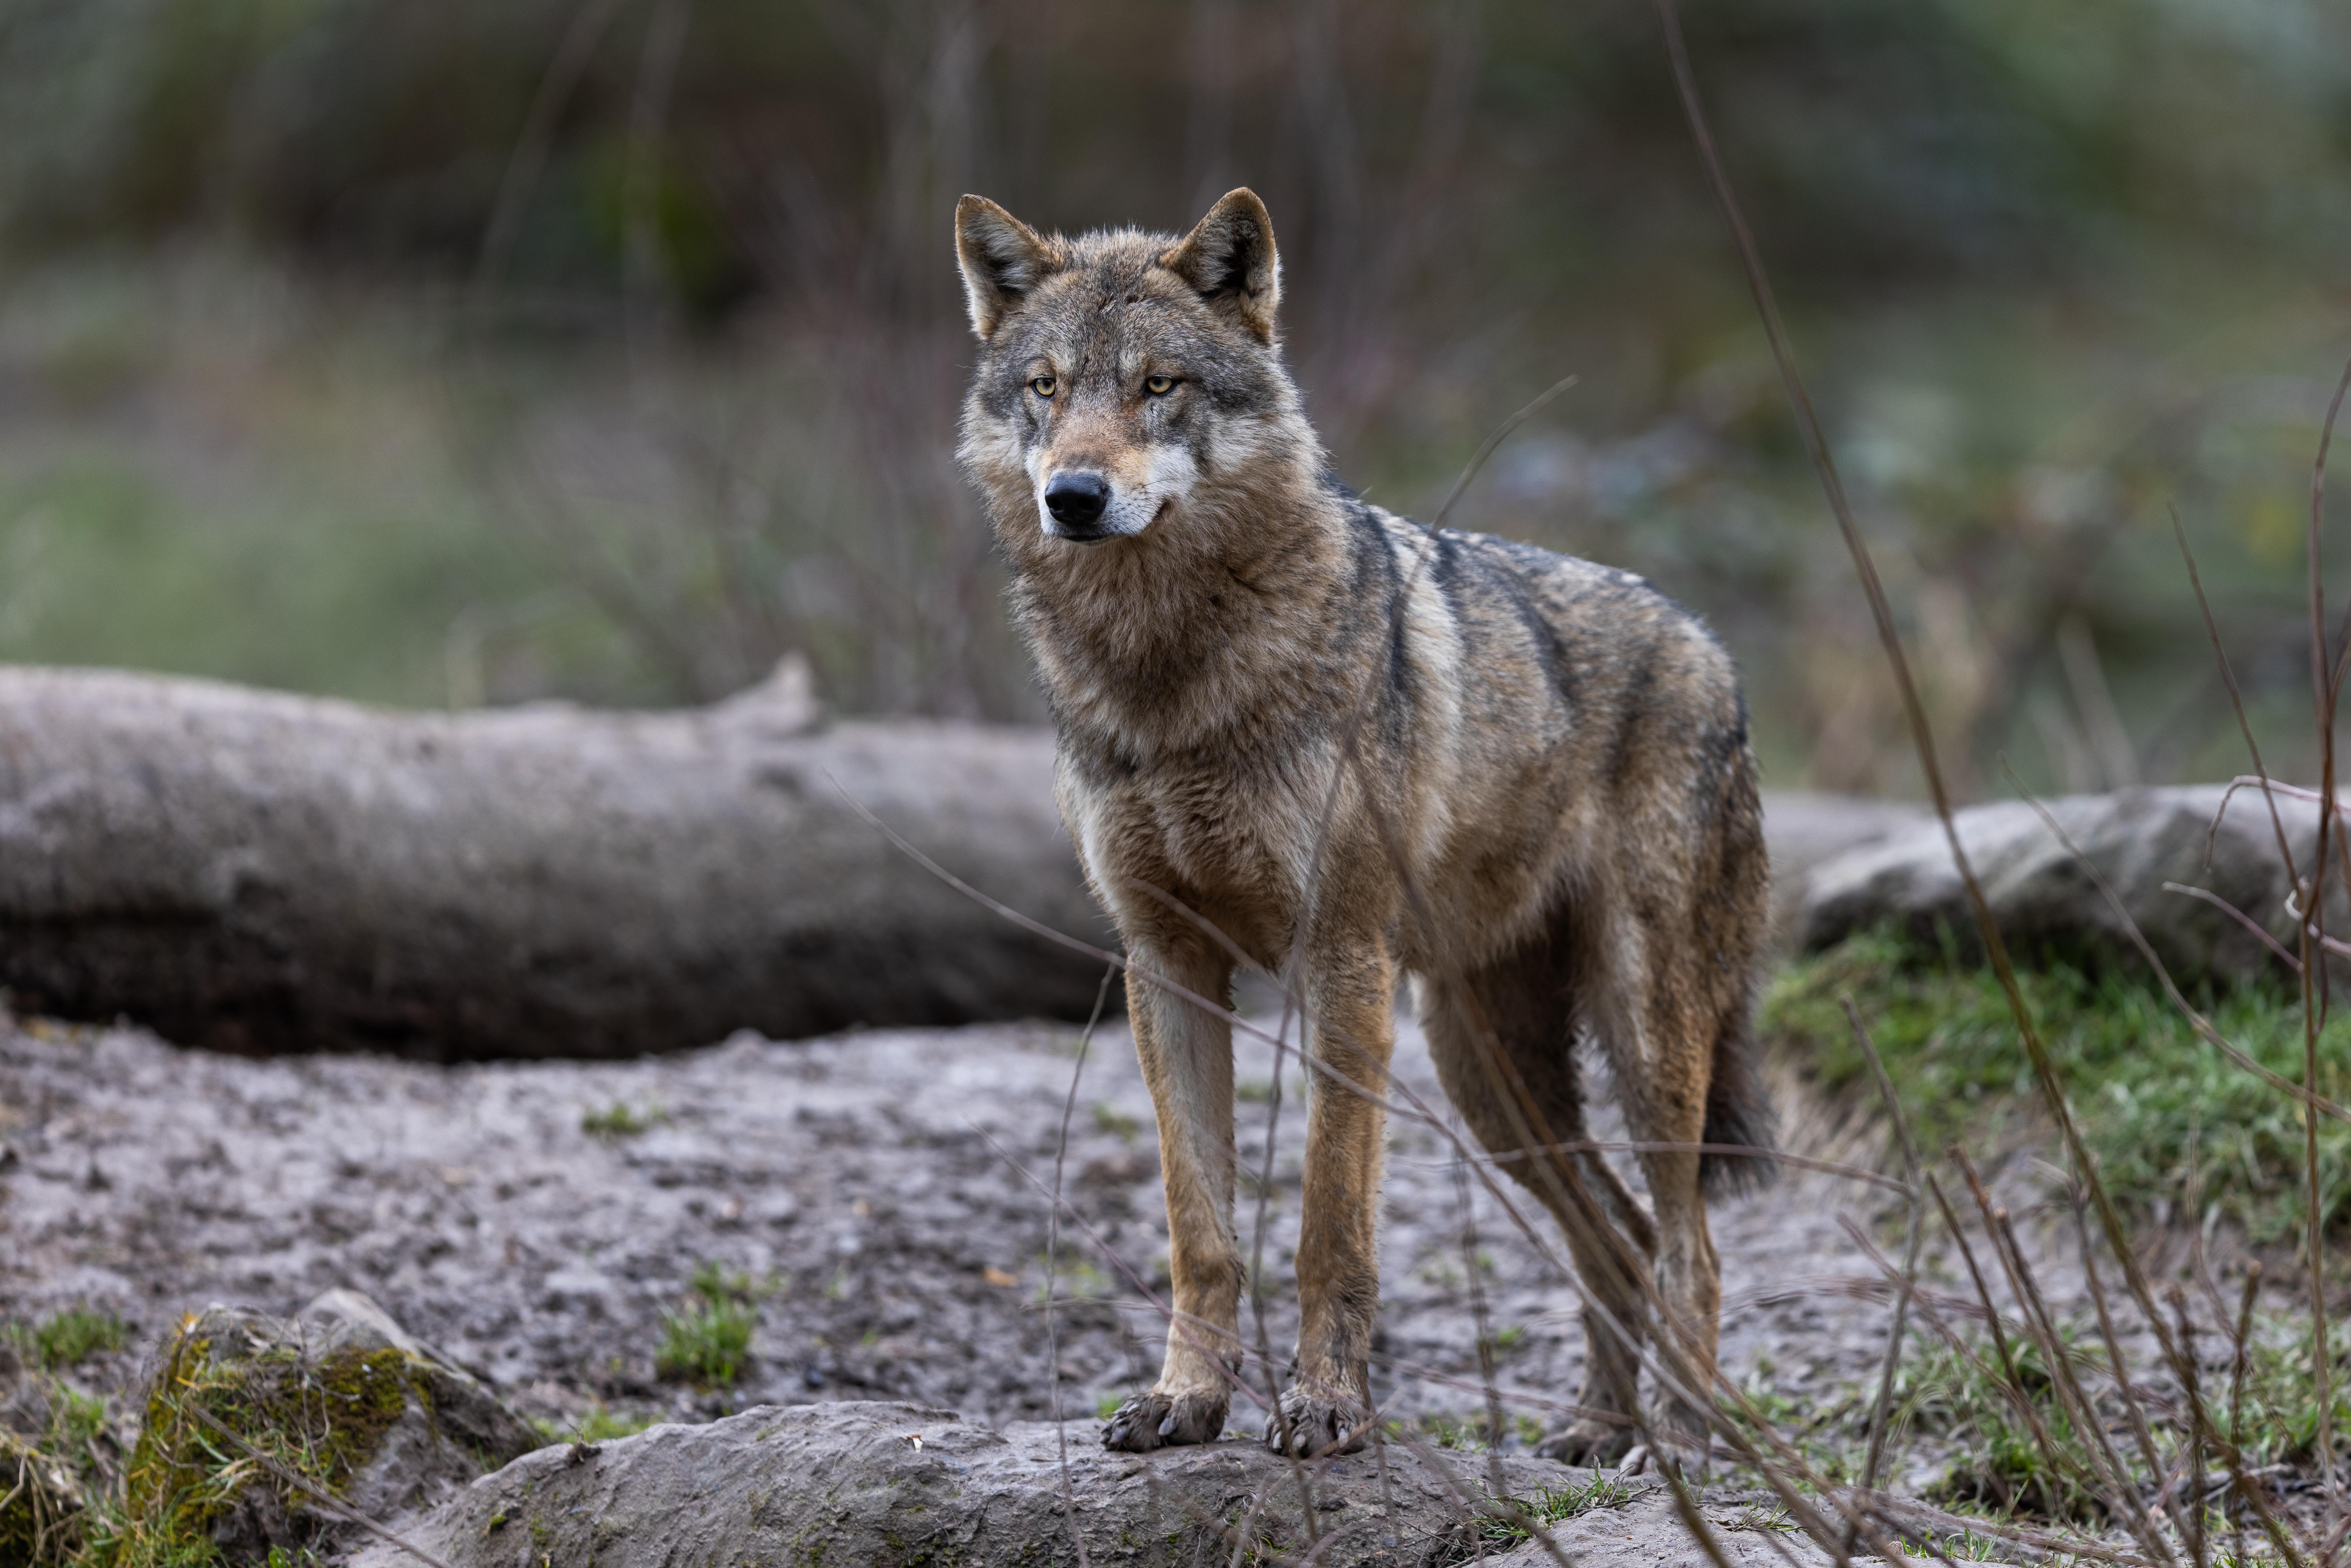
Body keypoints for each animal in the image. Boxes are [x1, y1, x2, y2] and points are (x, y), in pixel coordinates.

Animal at [953, 188, 1772, 1466]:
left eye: (1155, 385)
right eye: (1044, 386)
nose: (1072, 497)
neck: (1169, 676)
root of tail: (1709, 646)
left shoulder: (1340, 962)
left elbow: (1326, 1223)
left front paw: (1328, 1407)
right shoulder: (1163, 963)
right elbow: (1201, 1228)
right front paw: (1182, 1400)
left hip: (1638, 1045)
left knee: (1690, 1244)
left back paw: (1676, 1445)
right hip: (1491, 1083)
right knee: (1621, 1237)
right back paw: (1594, 1431)